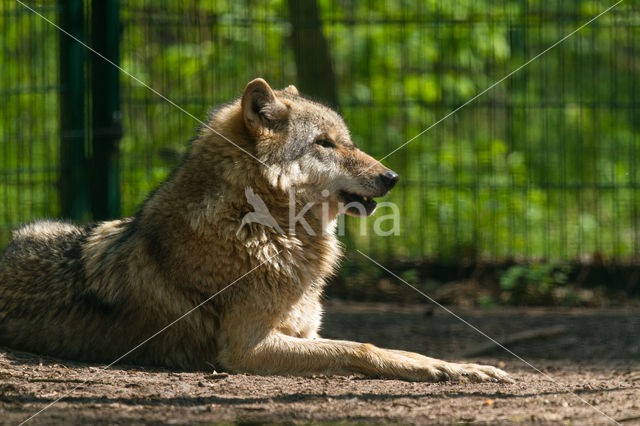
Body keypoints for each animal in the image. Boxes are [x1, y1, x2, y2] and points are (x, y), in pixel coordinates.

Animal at [0, 80, 510, 382]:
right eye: (325, 143)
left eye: (347, 141)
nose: (392, 178)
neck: (270, 231)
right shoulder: (246, 349)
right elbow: (365, 346)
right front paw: (449, 369)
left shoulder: (304, 334)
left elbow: (377, 345)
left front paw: (461, 365)